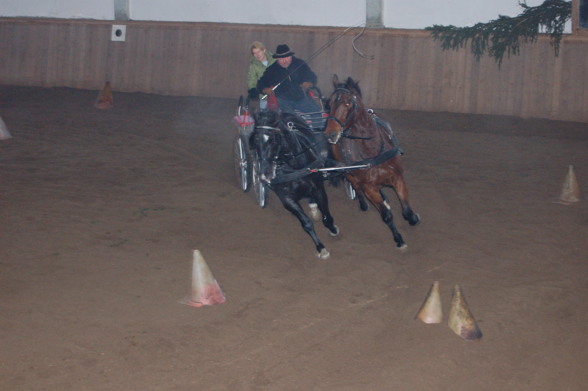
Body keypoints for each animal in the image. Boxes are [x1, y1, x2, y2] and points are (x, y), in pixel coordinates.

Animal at [249, 109, 340, 260]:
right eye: (255, 139)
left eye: (274, 139)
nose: (265, 174)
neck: (293, 166)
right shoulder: (287, 199)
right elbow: (306, 223)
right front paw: (321, 248)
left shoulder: (319, 189)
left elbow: (326, 217)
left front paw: (333, 229)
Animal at [324, 75, 420, 250]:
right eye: (330, 103)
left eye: (347, 103)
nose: (330, 134)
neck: (373, 150)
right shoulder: (369, 188)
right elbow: (387, 216)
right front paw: (399, 239)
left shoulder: (398, 178)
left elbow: (406, 211)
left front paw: (413, 218)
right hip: (347, 171)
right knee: (355, 184)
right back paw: (363, 203)